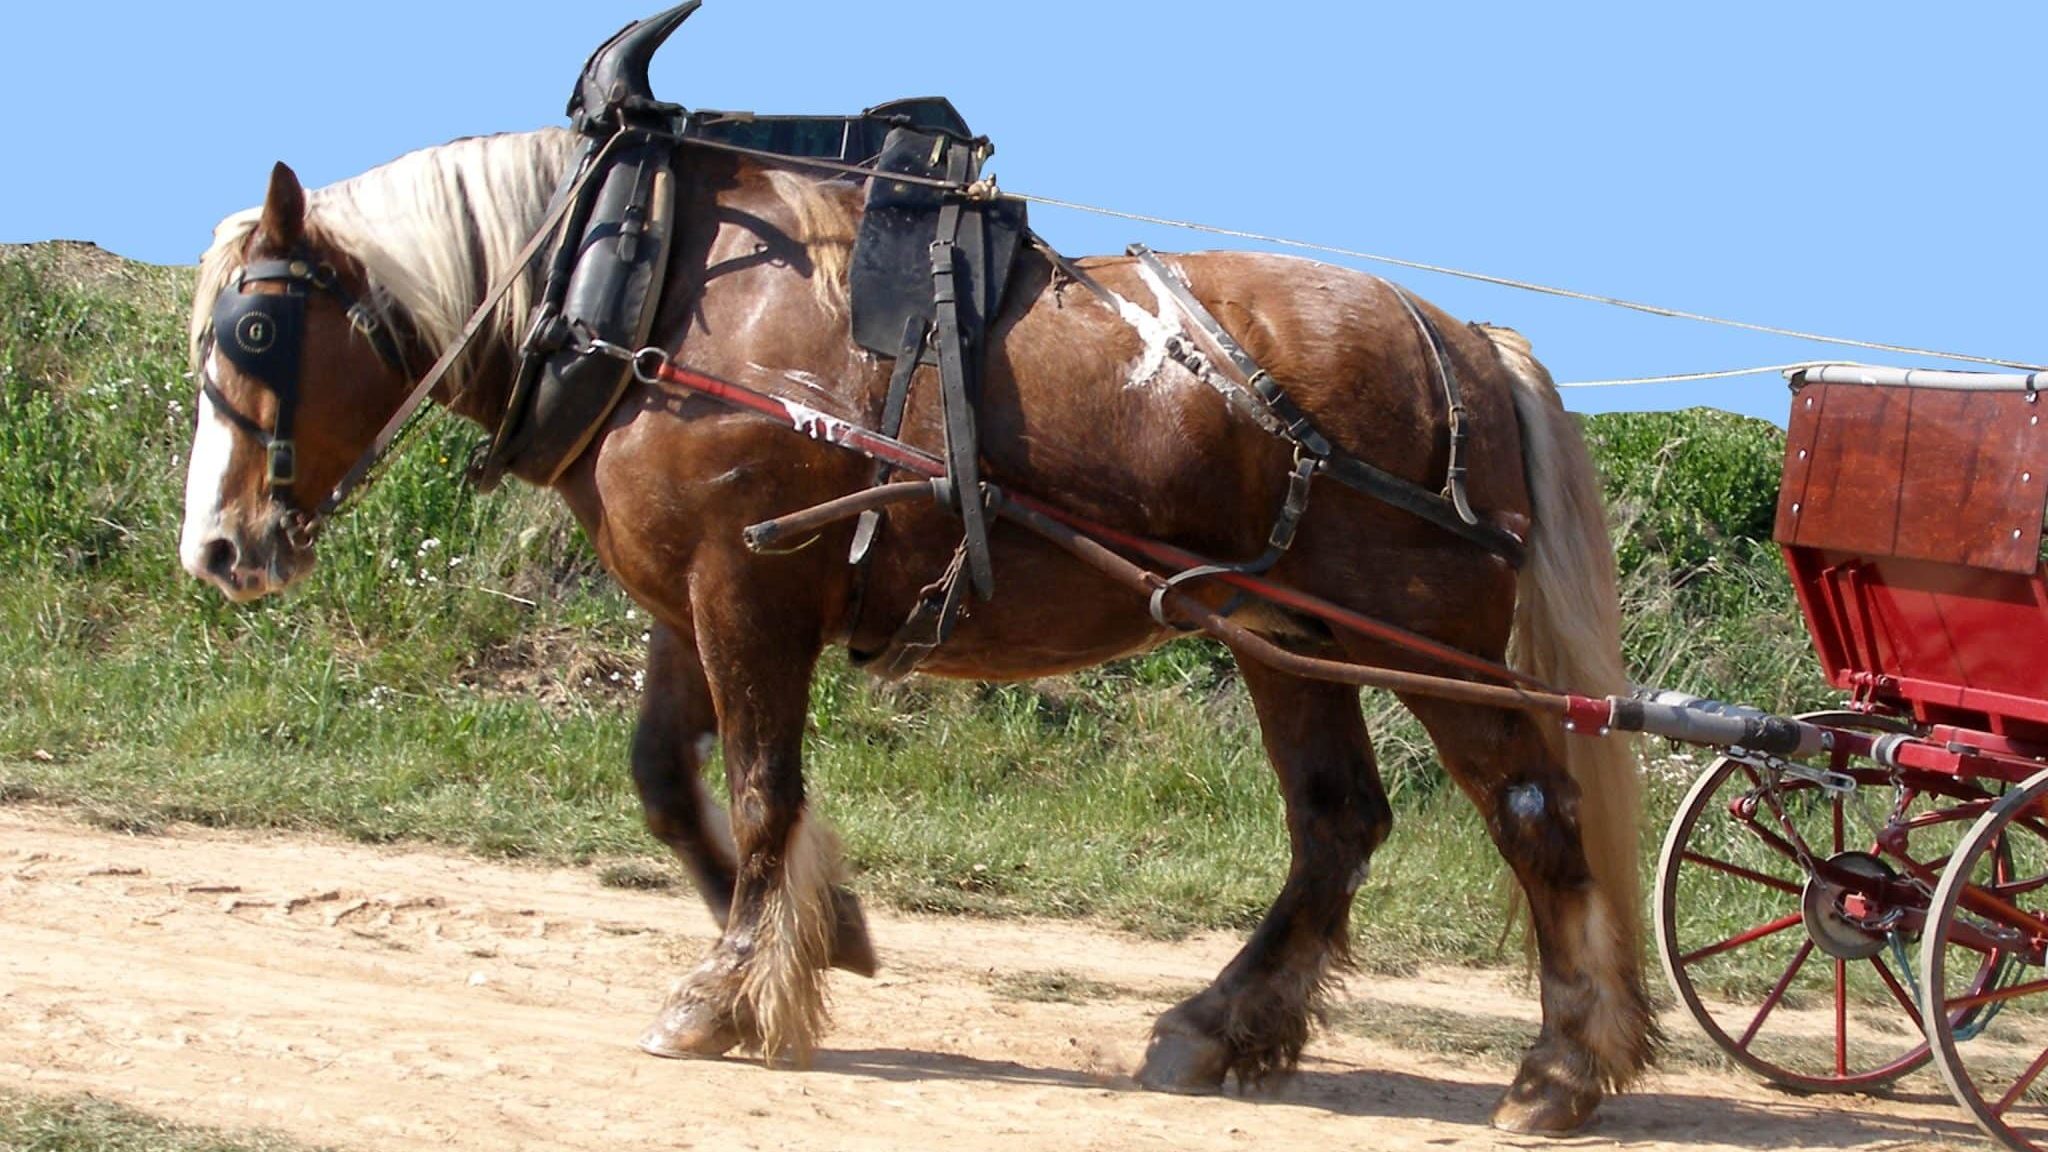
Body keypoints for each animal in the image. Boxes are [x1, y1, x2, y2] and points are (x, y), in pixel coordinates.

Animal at [172, 127, 1646, 1131]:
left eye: (256, 329)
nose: (218, 551)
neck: (643, 295)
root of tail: (1469, 340)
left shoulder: (749, 590)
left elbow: (761, 792)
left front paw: (728, 990)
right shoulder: (691, 600)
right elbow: (666, 784)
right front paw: (825, 936)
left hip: (1413, 634)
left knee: (1531, 811)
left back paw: (1561, 1067)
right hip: (1279, 630)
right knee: (1338, 823)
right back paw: (1221, 1026)